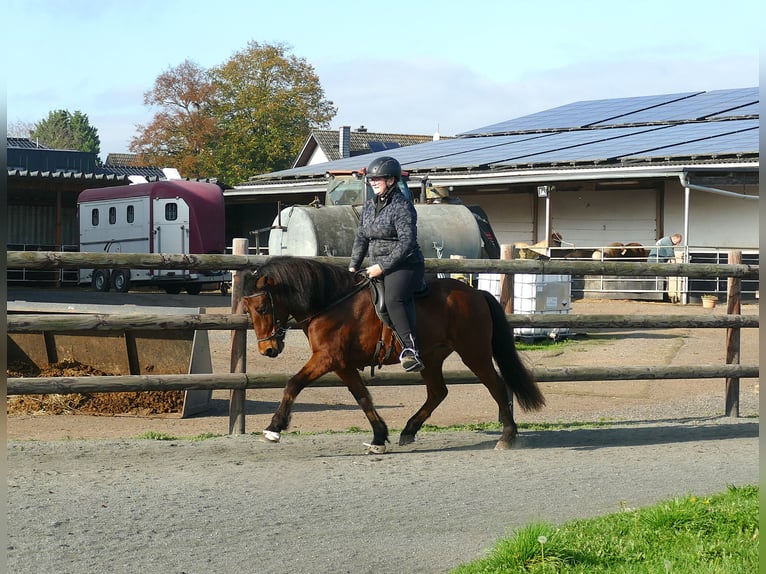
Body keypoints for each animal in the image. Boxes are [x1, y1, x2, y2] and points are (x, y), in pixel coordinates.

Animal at [243, 258, 548, 454]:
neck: (332, 304)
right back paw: (409, 431)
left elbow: (293, 384)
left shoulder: (326, 359)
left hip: (474, 353)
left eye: (261, 308)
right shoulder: (341, 365)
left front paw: (274, 428)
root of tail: (475, 292)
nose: (267, 350)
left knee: (496, 386)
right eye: (246, 309)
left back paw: (507, 436)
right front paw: (379, 437)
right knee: (438, 392)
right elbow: (363, 398)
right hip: (432, 357)